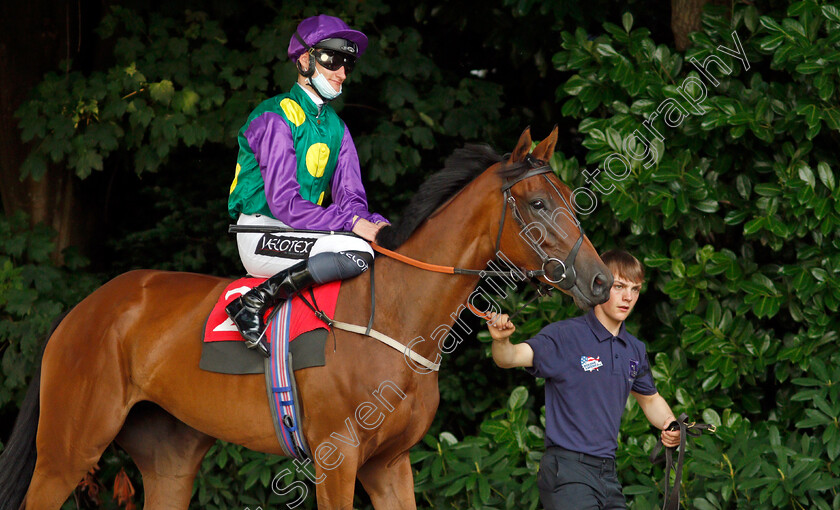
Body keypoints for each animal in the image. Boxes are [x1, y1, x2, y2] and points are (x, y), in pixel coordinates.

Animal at [0, 126, 612, 506]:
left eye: (566, 198)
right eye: (538, 204)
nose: (600, 281)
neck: (395, 318)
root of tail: (83, 310)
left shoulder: (389, 465)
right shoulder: (336, 458)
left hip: (167, 458)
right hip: (67, 450)